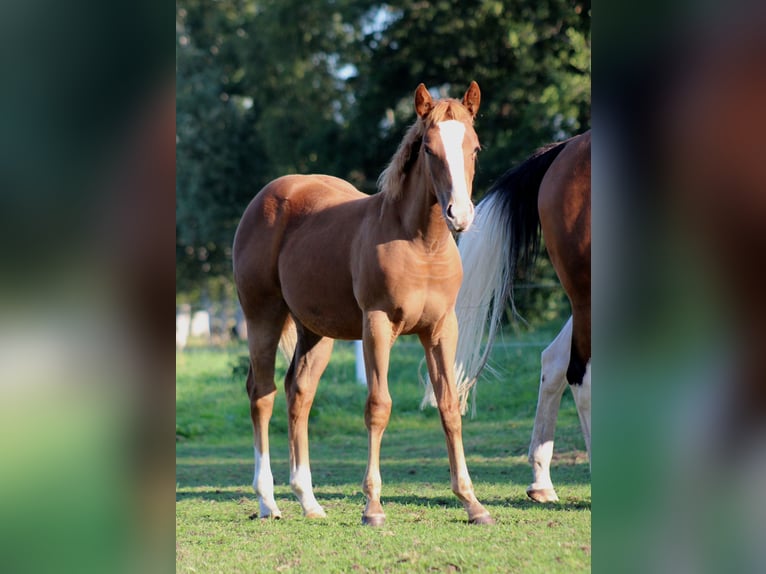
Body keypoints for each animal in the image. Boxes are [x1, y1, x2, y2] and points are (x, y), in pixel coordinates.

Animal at [232, 82, 494, 526]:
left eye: (474, 148)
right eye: (428, 148)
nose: (459, 214)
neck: (421, 244)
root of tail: (265, 197)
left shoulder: (441, 328)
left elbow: (448, 405)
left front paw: (472, 502)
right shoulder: (378, 324)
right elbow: (378, 405)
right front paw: (372, 505)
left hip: (315, 332)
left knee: (299, 393)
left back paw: (309, 501)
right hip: (262, 316)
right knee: (262, 393)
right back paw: (268, 501)